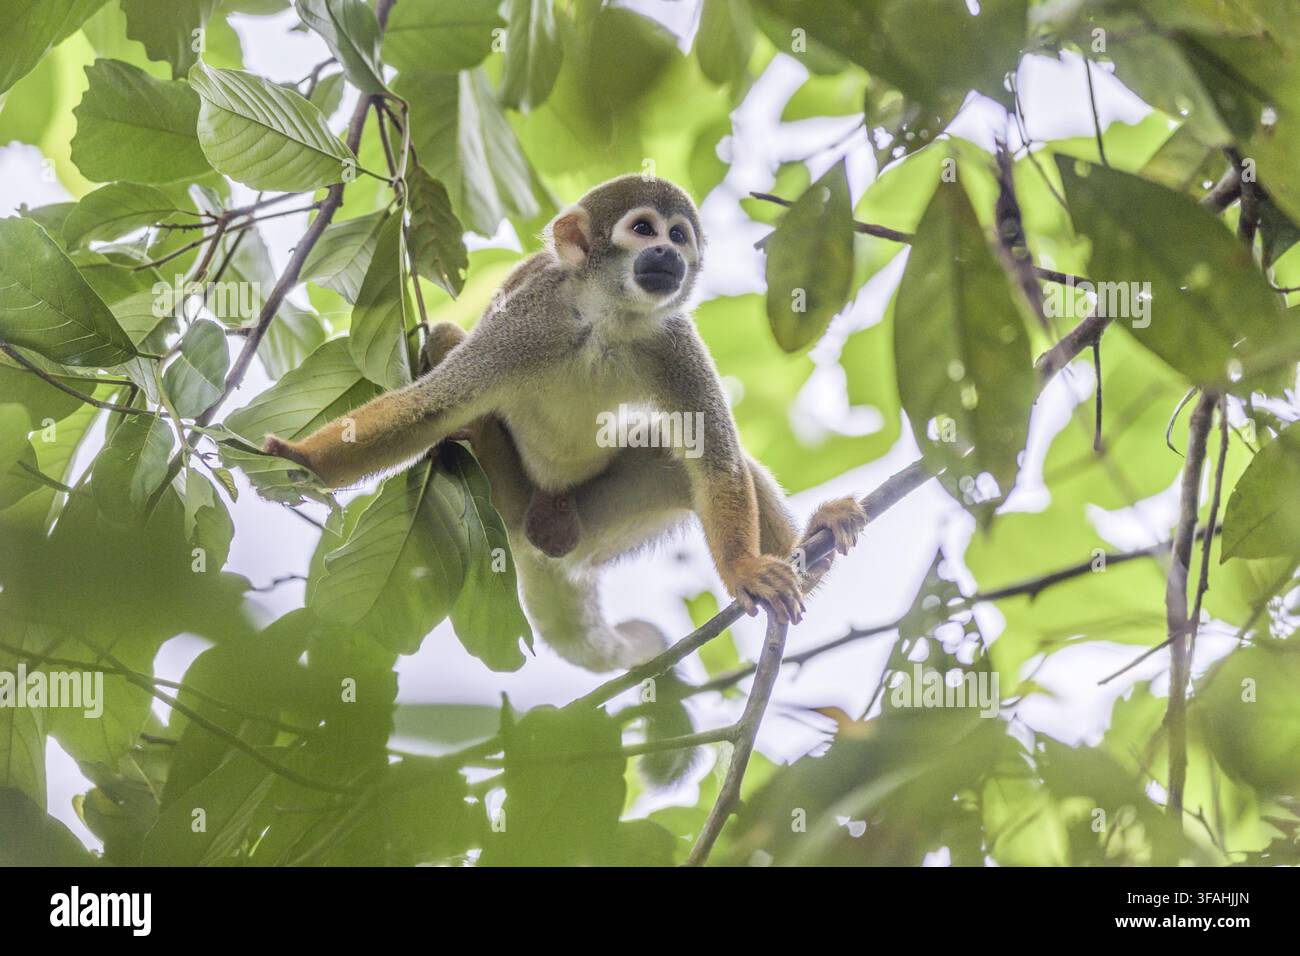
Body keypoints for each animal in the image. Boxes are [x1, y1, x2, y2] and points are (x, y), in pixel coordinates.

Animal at [264, 175, 868, 672]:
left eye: (679, 236)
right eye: (644, 229)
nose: (666, 253)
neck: (605, 320)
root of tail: (540, 540)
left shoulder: (674, 341)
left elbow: (716, 461)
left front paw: (744, 568)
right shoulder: (528, 322)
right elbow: (428, 409)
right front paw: (306, 459)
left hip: (595, 524)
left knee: (680, 460)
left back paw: (810, 553)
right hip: (510, 501)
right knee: (446, 343)